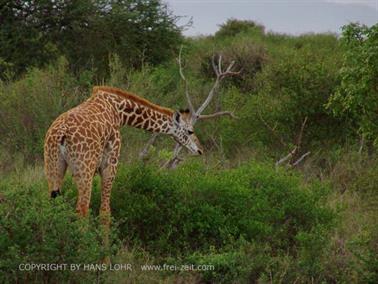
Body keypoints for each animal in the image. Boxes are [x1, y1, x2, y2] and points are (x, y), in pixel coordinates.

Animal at [44, 85, 204, 240]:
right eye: (190, 131)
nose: (200, 150)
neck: (119, 111)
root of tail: (60, 134)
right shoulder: (110, 163)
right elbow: (105, 212)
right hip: (84, 170)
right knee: (82, 210)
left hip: (53, 166)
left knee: (53, 205)